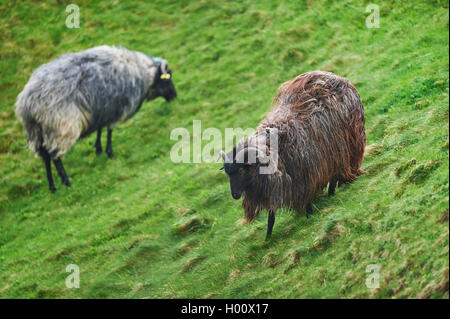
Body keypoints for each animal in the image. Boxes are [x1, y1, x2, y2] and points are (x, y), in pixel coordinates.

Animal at [14, 45, 176, 192]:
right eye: (167, 79)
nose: (174, 96)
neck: (142, 73)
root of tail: (28, 101)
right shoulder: (117, 109)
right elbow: (109, 130)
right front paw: (109, 152)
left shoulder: (103, 109)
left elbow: (100, 128)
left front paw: (98, 148)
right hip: (62, 126)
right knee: (55, 155)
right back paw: (66, 182)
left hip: (38, 132)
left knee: (45, 156)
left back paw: (52, 186)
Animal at [221, 70, 366, 240]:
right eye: (228, 174)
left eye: (241, 170)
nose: (235, 194)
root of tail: (335, 76)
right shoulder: (275, 184)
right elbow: (271, 215)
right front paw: (268, 237)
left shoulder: (305, 174)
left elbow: (307, 195)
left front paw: (309, 214)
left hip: (343, 147)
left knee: (336, 172)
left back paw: (331, 192)